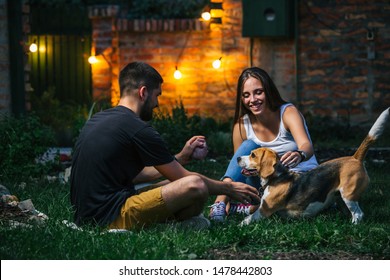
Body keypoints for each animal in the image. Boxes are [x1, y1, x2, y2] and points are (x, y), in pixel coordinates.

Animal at [239, 107, 388, 225]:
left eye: (253, 155)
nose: (238, 158)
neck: (277, 177)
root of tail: (355, 157)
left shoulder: (264, 210)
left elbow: (247, 219)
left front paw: (239, 226)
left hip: (348, 194)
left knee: (358, 214)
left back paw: (353, 225)